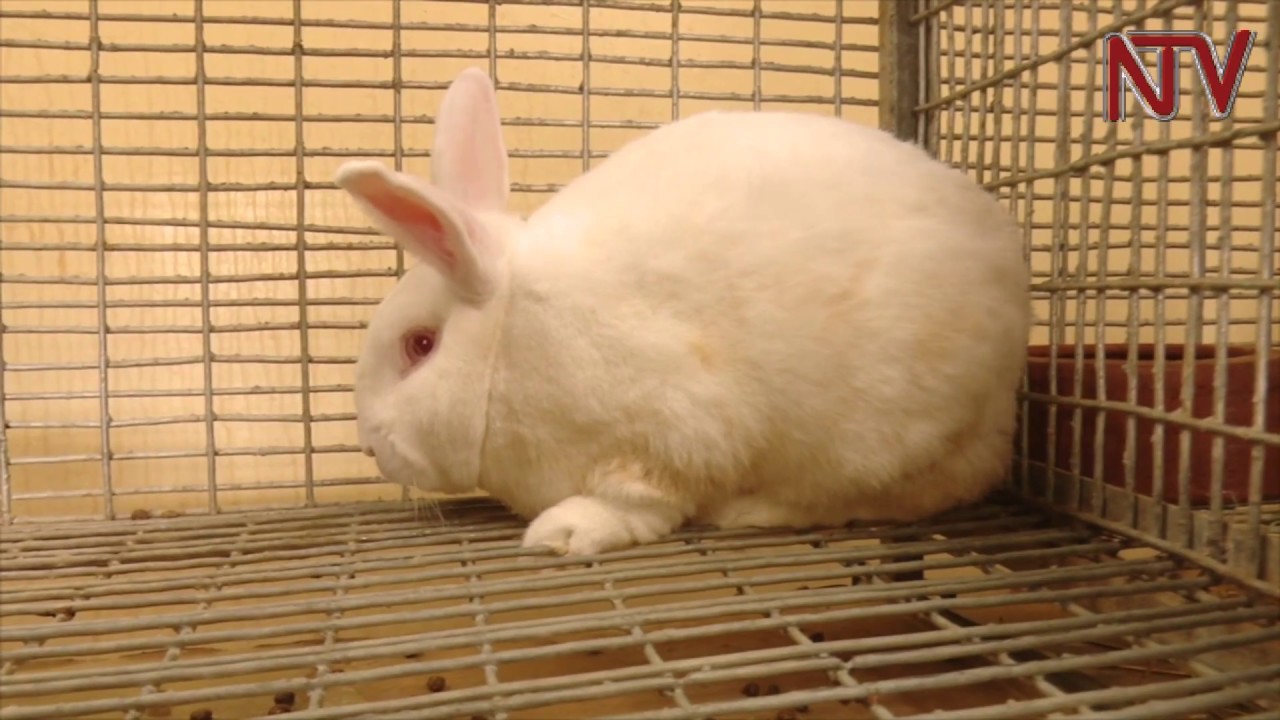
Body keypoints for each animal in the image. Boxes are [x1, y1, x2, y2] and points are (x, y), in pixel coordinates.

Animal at [334, 67, 1032, 557]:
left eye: (420, 346)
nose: (369, 447)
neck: (512, 341)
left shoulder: (670, 432)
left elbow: (638, 503)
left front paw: (565, 532)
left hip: (882, 438)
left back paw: (750, 512)